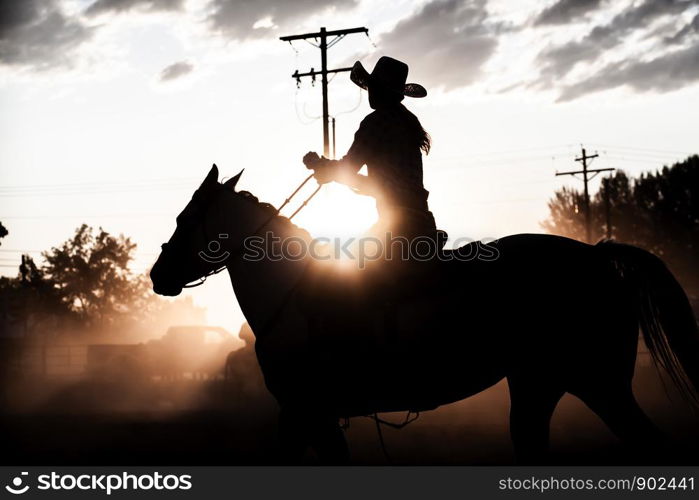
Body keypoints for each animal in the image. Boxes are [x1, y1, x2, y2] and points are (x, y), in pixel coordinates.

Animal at [152, 165, 699, 464]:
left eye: (184, 218)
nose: (158, 275)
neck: (290, 289)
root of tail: (598, 256)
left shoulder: (304, 409)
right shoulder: (311, 414)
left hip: (598, 383)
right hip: (539, 384)